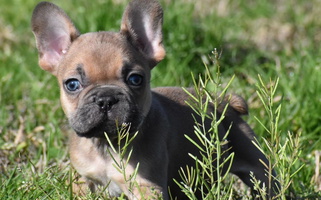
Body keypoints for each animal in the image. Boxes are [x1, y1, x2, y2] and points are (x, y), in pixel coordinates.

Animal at [31, 0, 278, 198]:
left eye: (135, 79)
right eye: (72, 84)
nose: (106, 99)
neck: (106, 144)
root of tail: (224, 102)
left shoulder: (146, 187)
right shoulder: (83, 181)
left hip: (254, 161)